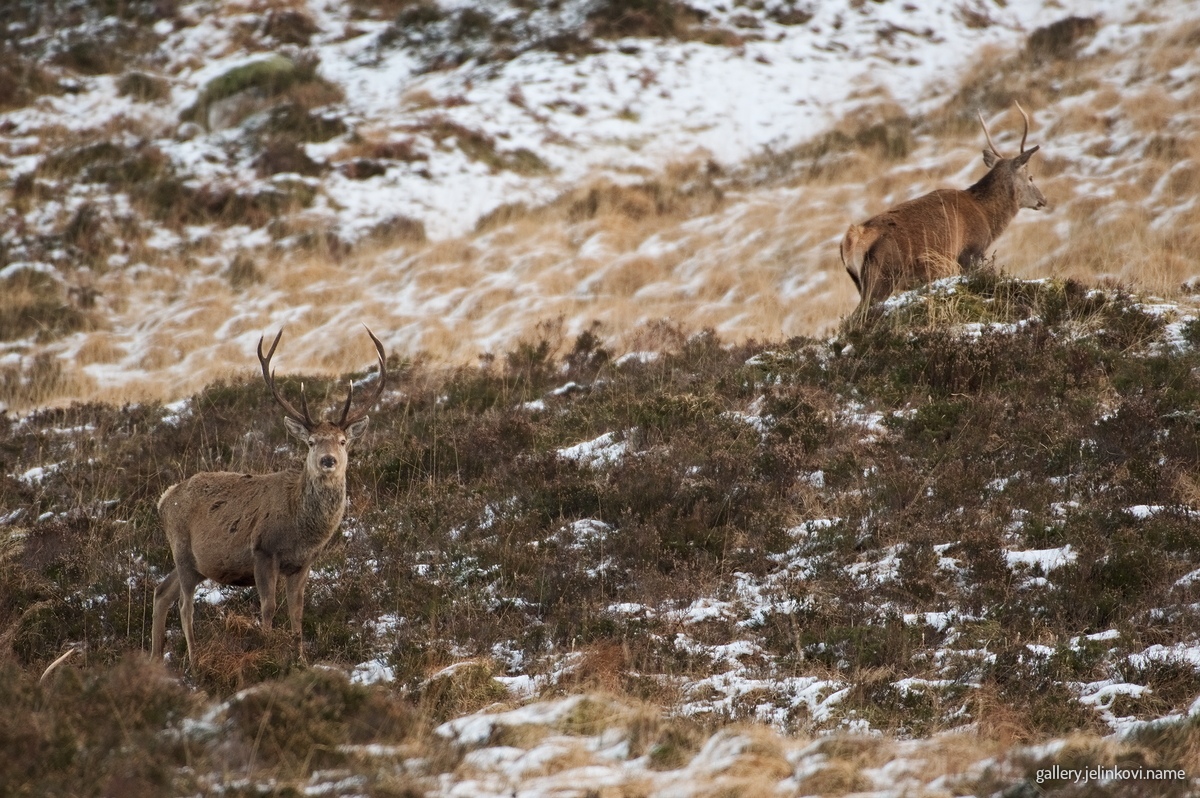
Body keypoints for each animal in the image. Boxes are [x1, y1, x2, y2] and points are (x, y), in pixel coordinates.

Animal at [151, 327, 387, 670]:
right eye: (311, 441)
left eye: (343, 441)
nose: (328, 460)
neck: (300, 527)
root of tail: (164, 499)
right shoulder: (263, 549)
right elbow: (268, 606)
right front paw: (267, 655)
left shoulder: (303, 562)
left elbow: (297, 611)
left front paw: (300, 659)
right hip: (181, 548)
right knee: (184, 604)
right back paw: (194, 661)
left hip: (194, 561)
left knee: (161, 591)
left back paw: (155, 659)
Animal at [841, 102, 1047, 325]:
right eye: (1031, 177)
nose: (1043, 200)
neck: (986, 216)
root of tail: (853, 239)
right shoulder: (970, 253)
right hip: (882, 278)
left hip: (860, 282)